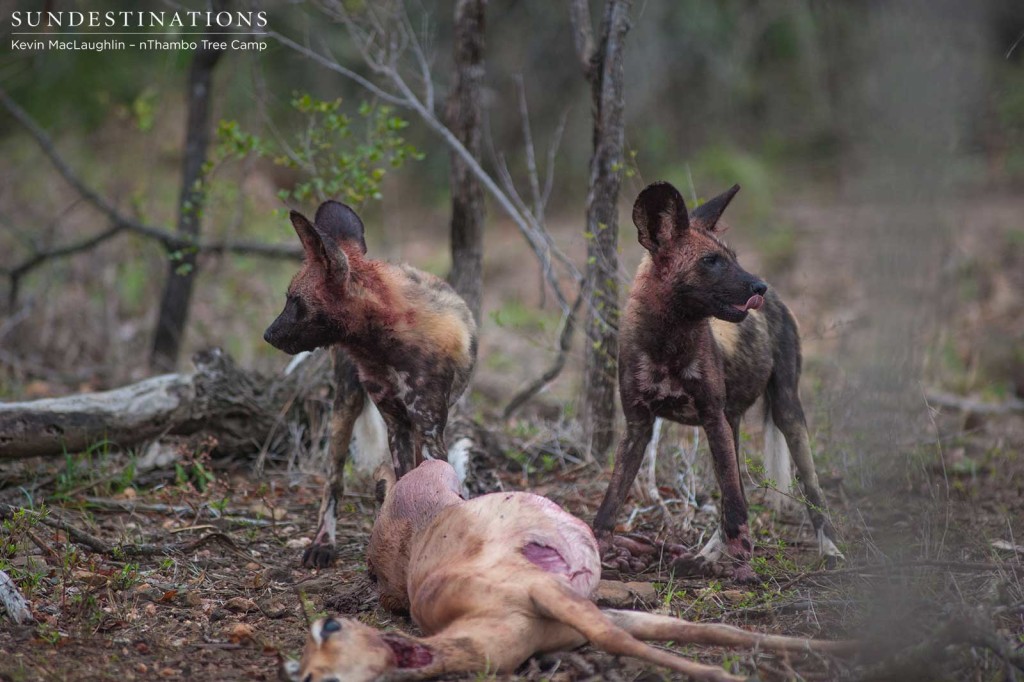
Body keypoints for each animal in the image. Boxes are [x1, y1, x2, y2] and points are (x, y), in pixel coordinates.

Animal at [262, 199, 473, 565]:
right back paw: (323, 543)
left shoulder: (427, 427)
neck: (383, 344)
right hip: (345, 406)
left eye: (295, 301)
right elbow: (404, 484)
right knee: (334, 480)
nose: (268, 334)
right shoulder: (396, 423)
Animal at [598, 179, 843, 577]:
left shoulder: (711, 417)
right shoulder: (638, 425)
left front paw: (743, 566)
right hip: (732, 422)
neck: (668, 343)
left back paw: (831, 550)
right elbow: (609, 506)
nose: (759, 287)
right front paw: (600, 551)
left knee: (811, 490)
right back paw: (705, 556)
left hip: (786, 410)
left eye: (733, 257)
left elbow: (737, 510)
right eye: (710, 261)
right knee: (734, 495)